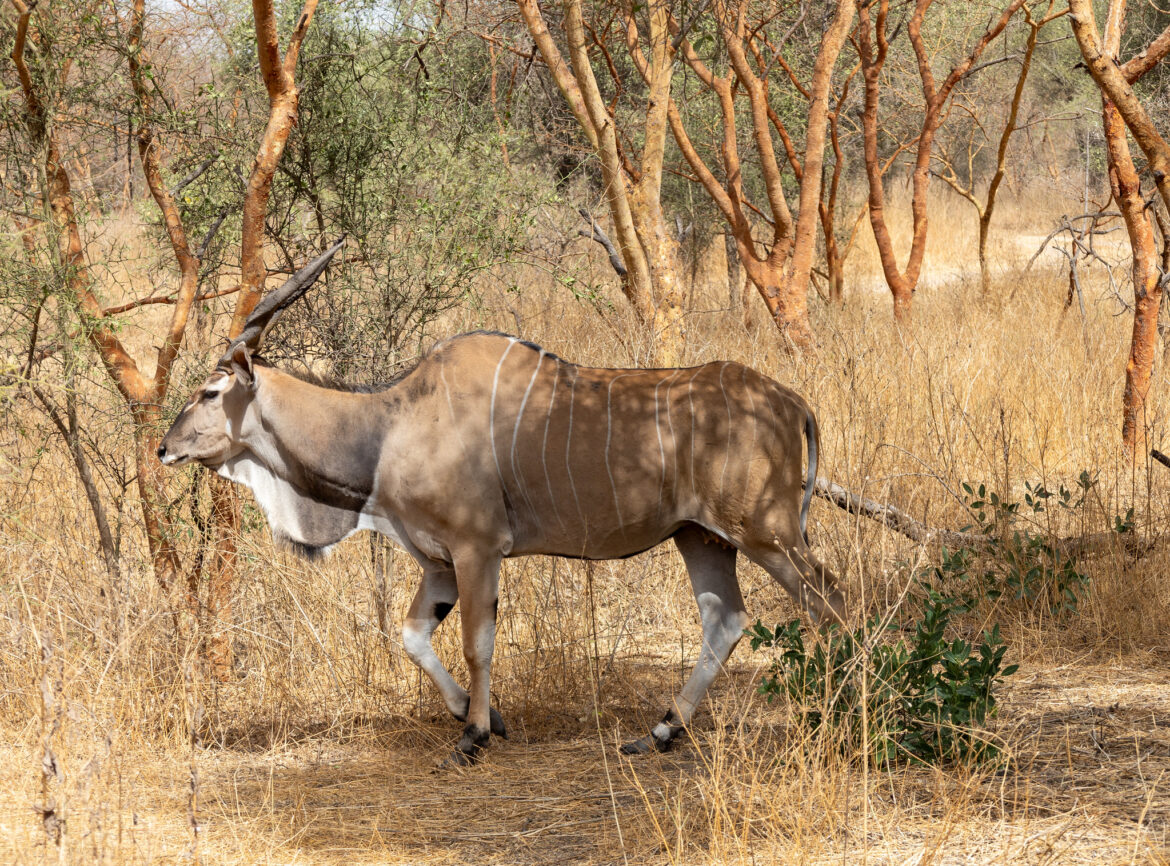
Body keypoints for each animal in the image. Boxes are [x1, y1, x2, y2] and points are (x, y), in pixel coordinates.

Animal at [160, 242, 847, 763]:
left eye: (209, 390)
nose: (165, 448)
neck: (389, 426)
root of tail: (790, 400)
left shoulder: (476, 551)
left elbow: (476, 643)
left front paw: (473, 736)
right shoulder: (438, 564)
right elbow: (412, 635)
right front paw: (479, 714)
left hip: (766, 533)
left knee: (829, 598)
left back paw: (846, 704)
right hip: (702, 537)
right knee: (725, 621)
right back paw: (659, 732)